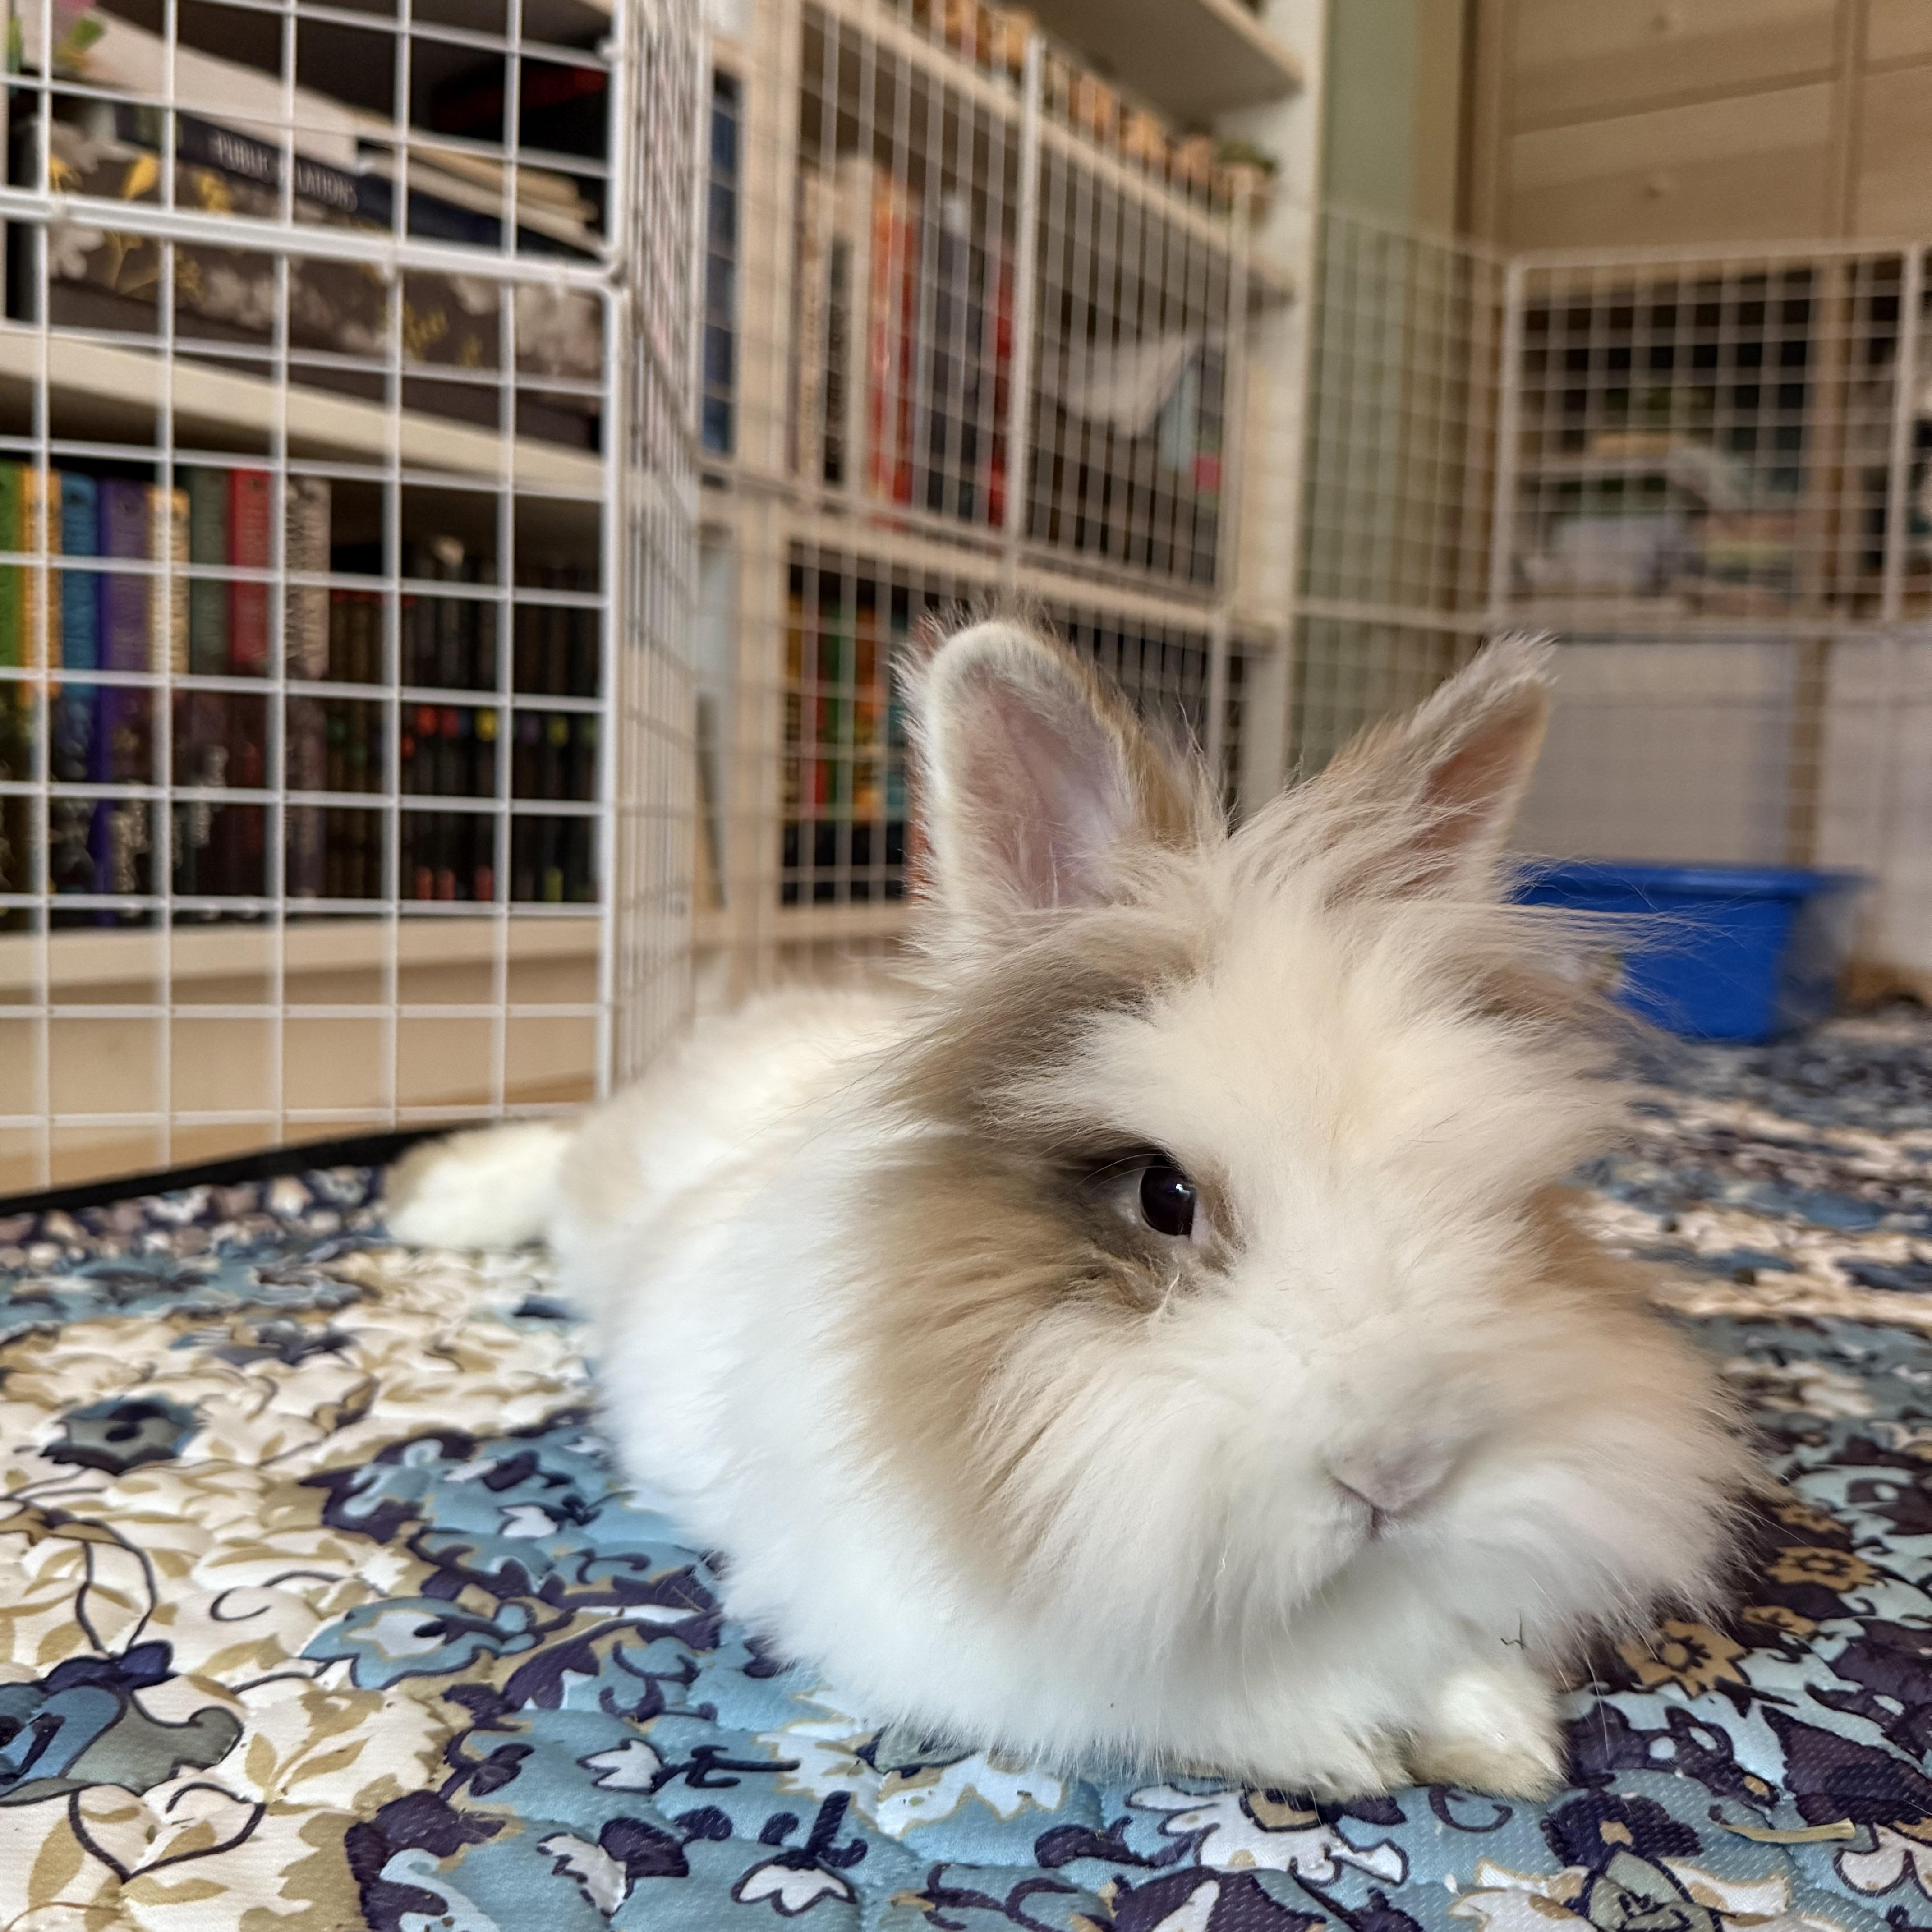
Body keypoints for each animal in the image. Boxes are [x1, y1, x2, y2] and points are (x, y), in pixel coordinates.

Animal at [384, 620, 1750, 1800]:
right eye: (1163, 1194)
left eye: (1505, 1201)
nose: (1398, 1475)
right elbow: (1191, 1695)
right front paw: (1351, 1744)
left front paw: (1504, 1742)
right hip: (600, 1198)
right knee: (555, 1157)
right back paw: (427, 1196)